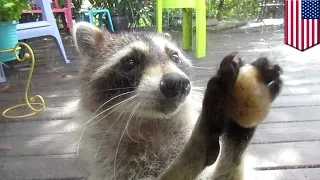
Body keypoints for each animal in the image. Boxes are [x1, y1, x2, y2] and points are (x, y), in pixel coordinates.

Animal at [73, 21, 282, 180]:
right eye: (130, 62)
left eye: (174, 57)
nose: (177, 83)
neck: (153, 124)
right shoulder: (112, 166)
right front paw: (195, 147)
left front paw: (238, 134)